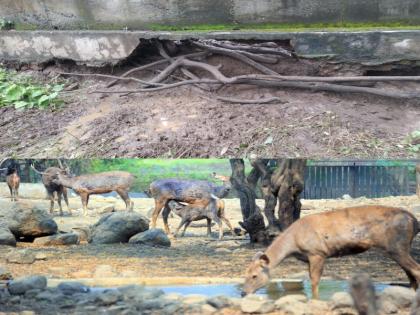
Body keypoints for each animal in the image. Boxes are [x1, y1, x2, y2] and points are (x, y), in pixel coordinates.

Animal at [243, 206, 420, 300]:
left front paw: (315, 300)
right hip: (400, 247)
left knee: (415, 269)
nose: (243, 292)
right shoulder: (309, 258)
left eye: (254, 275)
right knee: (410, 273)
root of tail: (414, 221)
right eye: (246, 274)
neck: (294, 244)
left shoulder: (317, 253)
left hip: (397, 246)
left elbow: (315, 281)